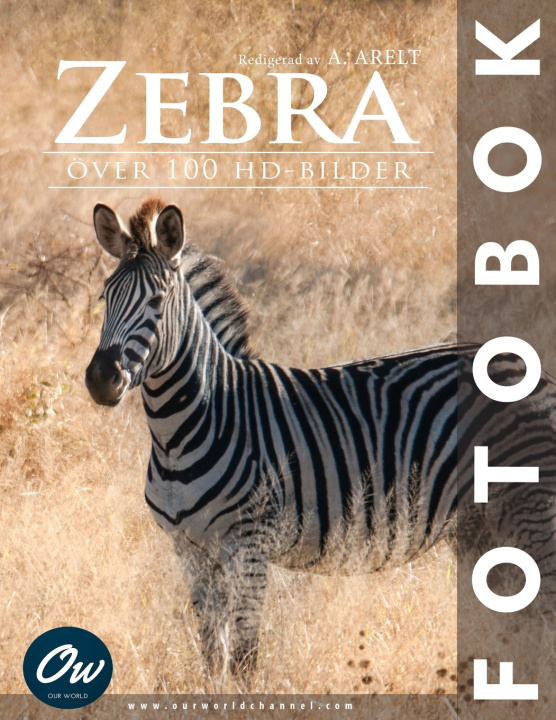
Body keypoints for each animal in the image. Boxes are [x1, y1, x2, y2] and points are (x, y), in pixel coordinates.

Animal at [85, 198, 556, 675]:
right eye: (105, 297)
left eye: (157, 301)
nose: (100, 379)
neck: (183, 431)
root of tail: (528, 364)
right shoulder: (190, 551)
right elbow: (211, 656)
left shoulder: (249, 545)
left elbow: (243, 659)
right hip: (482, 525)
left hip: (531, 506)